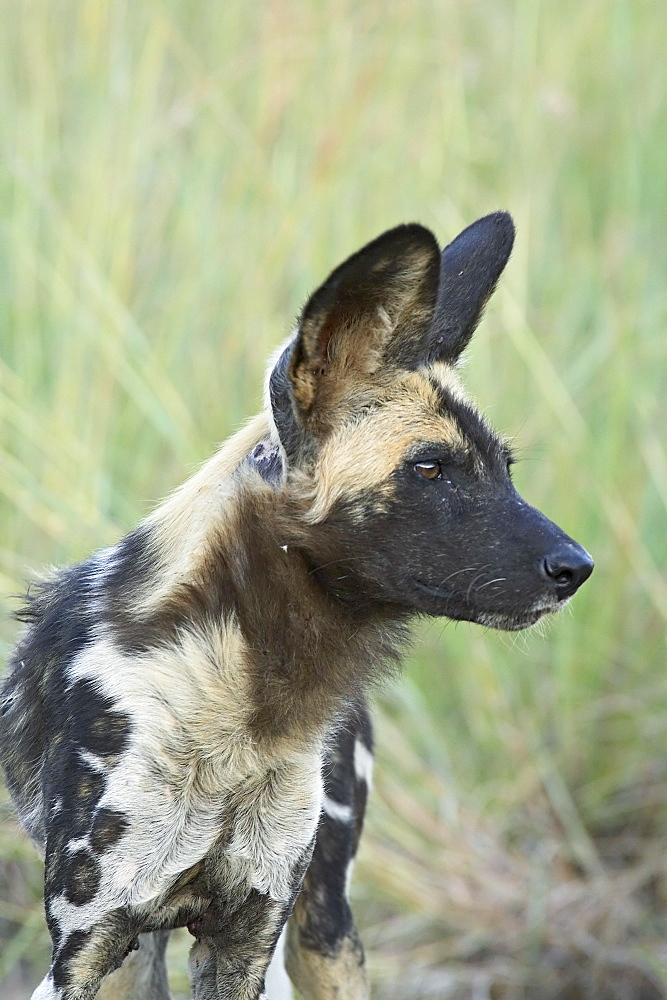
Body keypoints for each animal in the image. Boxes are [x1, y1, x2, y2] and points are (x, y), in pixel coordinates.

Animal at [0, 213, 596, 1000]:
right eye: (430, 467)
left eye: (505, 469)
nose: (577, 567)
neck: (240, 705)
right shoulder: (91, 945)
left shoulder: (250, 933)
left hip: (325, 931)